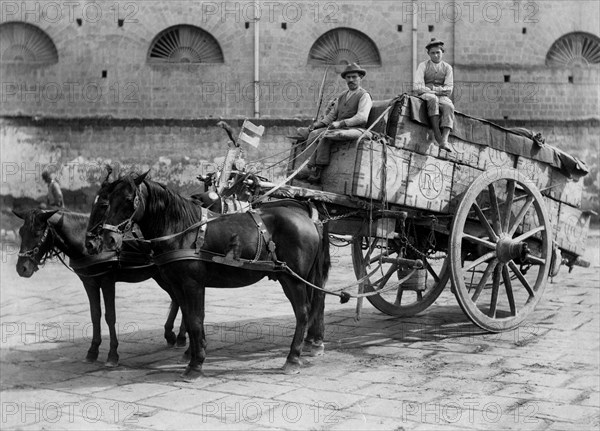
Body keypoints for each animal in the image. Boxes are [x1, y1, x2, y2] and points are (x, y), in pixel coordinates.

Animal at [91, 173, 330, 382]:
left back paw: (293, 358)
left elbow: (196, 321)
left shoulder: (192, 284)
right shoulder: (178, 285)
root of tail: (307, 219)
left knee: (303, 312)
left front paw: (196, 365)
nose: (108, 239)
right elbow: (189, 318)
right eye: (108, 201)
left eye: (129, 200)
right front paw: (192, 355)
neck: (182, 231)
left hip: (293, 279)